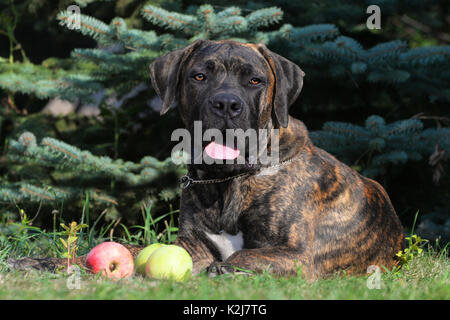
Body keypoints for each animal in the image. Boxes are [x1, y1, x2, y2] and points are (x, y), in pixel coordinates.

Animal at [7, 40, 404, 280]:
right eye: (199, 76)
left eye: (255, 80)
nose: (226, 104)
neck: (227, 180)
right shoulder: (191, 247)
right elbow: (128, 251)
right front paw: (41, 262)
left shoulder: (296, 255)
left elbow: (239, 257)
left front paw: (224, 270)